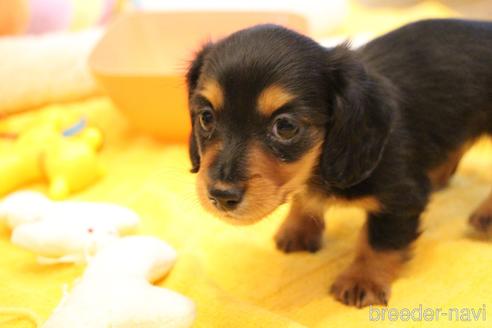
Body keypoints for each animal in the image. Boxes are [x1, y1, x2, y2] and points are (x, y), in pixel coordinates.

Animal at [184, 19, 492, 308]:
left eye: (285, 126)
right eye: (206, 117)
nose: (221, 196)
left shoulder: (401, 197)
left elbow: (379, 241)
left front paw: (362, 279)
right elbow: (306, 199)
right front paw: (299, 228)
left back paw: (485, 215)